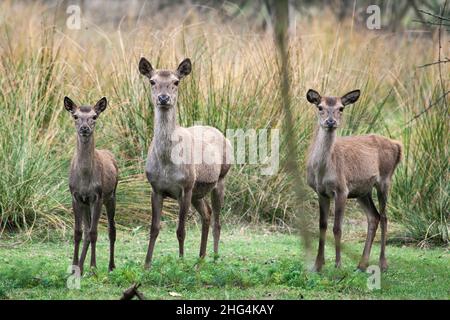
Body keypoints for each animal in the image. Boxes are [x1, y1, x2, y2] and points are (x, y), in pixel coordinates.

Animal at [64, 96, 119, 274]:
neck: (85, 179)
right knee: (87, 232)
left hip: (111, 195)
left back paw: (111, 266)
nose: (84, 128)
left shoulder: (97, 196)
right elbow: (78, 233)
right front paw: (74, 266)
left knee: (111, 230)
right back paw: (81, 267)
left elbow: (95, 232)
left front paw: (94, 267)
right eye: (75, 116)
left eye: (94, 116)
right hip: (87, 203)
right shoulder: (76, 197)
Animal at [139, 58, 232, 270]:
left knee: (217, 221)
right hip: (199, 191)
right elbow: (154, 228)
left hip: (219, 179)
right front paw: (146, 264)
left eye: (176, 81)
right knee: (207, 214)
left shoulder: (186, 187)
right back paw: (201, 258)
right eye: (152, 81)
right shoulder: (156, 188)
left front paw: (180, 262)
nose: (163, 98)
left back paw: (214, 257)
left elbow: (181, 230)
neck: (167, 164)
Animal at [304, 89, 402, 272]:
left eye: (341, 108)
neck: (322, 171)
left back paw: (383, 263)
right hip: (362, 191)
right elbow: (322, 225)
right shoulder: (321, 192)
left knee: (384, 217)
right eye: (320, 107)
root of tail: (398, 145)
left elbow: (337, 228)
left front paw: (338, 264)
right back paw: (362, 264)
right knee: (374, 217)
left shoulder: (342, 189)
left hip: (385, 179)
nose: (330, 122)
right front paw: (317, 265)